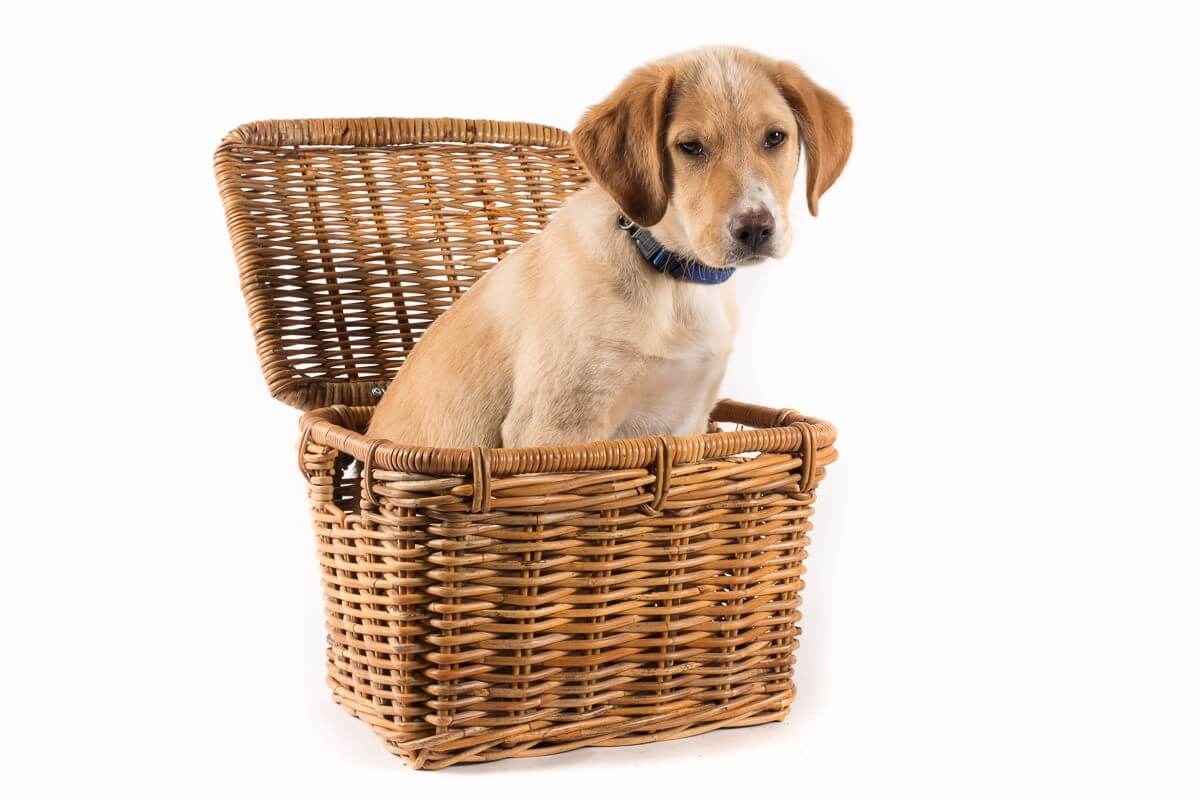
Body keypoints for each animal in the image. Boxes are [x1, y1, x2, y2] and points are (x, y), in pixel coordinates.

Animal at [367, 46, 852, 448]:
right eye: (690, 147)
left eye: (775, 138)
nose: (754, 229)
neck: (674, 278)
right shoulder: (552, 429)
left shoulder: (687, 424)